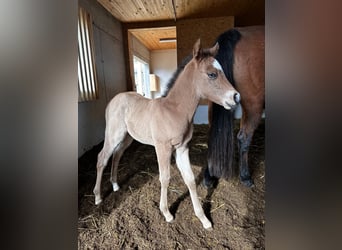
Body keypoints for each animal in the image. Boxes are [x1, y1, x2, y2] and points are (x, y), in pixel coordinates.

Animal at [92, 38, 239, 229]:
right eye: (212, 74)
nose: (236, 97)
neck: (175, 111)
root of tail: (113, 100)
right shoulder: (162, 148)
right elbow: (165, 178)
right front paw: (167, 213)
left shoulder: (183, 148)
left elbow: (190, 179)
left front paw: (204, 219)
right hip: (113, 134)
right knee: (102, 158)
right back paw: (98, 197)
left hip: (127, 138)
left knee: (117, 155)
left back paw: (116, 185)